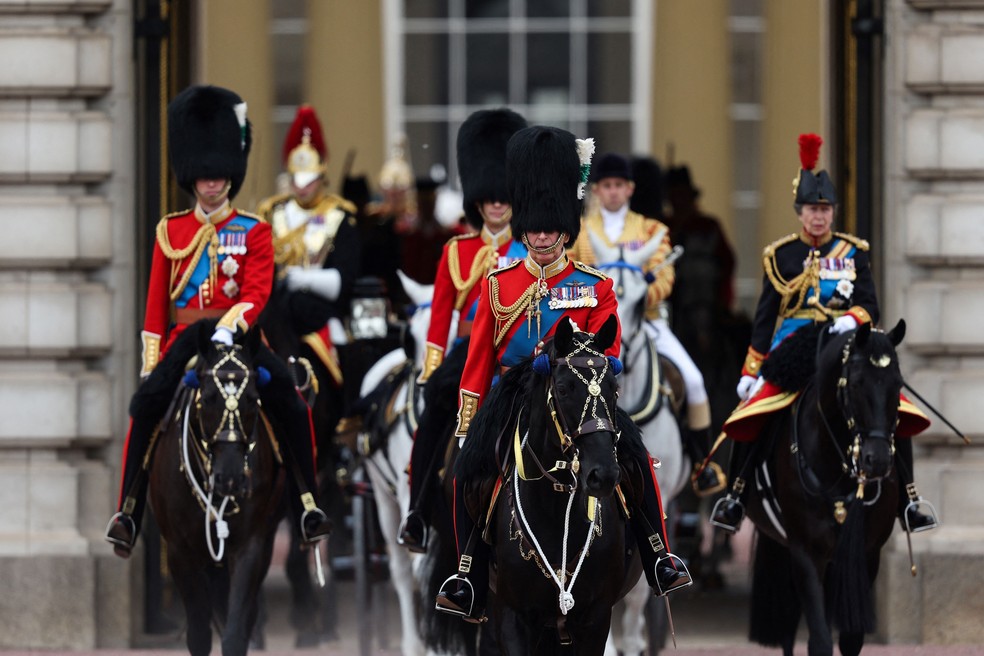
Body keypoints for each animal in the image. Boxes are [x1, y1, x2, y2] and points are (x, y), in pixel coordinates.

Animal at [148, 326, 284, 652]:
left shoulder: (250, 545)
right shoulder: (180, 552)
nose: (231, 478)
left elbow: (236, 630)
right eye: (208, 398)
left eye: (253, 398)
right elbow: (199, 634)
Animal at [448, 316, 644, 652]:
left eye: (614, 389)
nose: (603, 474)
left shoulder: (595, 618)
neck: (556, 506)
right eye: (563, 389)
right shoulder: (514, 617)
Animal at [744, 322, 908, 656]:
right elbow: (820, 640)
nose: (877, 460)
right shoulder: (806, 551)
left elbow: (851, 638)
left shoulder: (866, 553)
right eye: (856, 383)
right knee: (788, 626)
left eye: (898, 384)